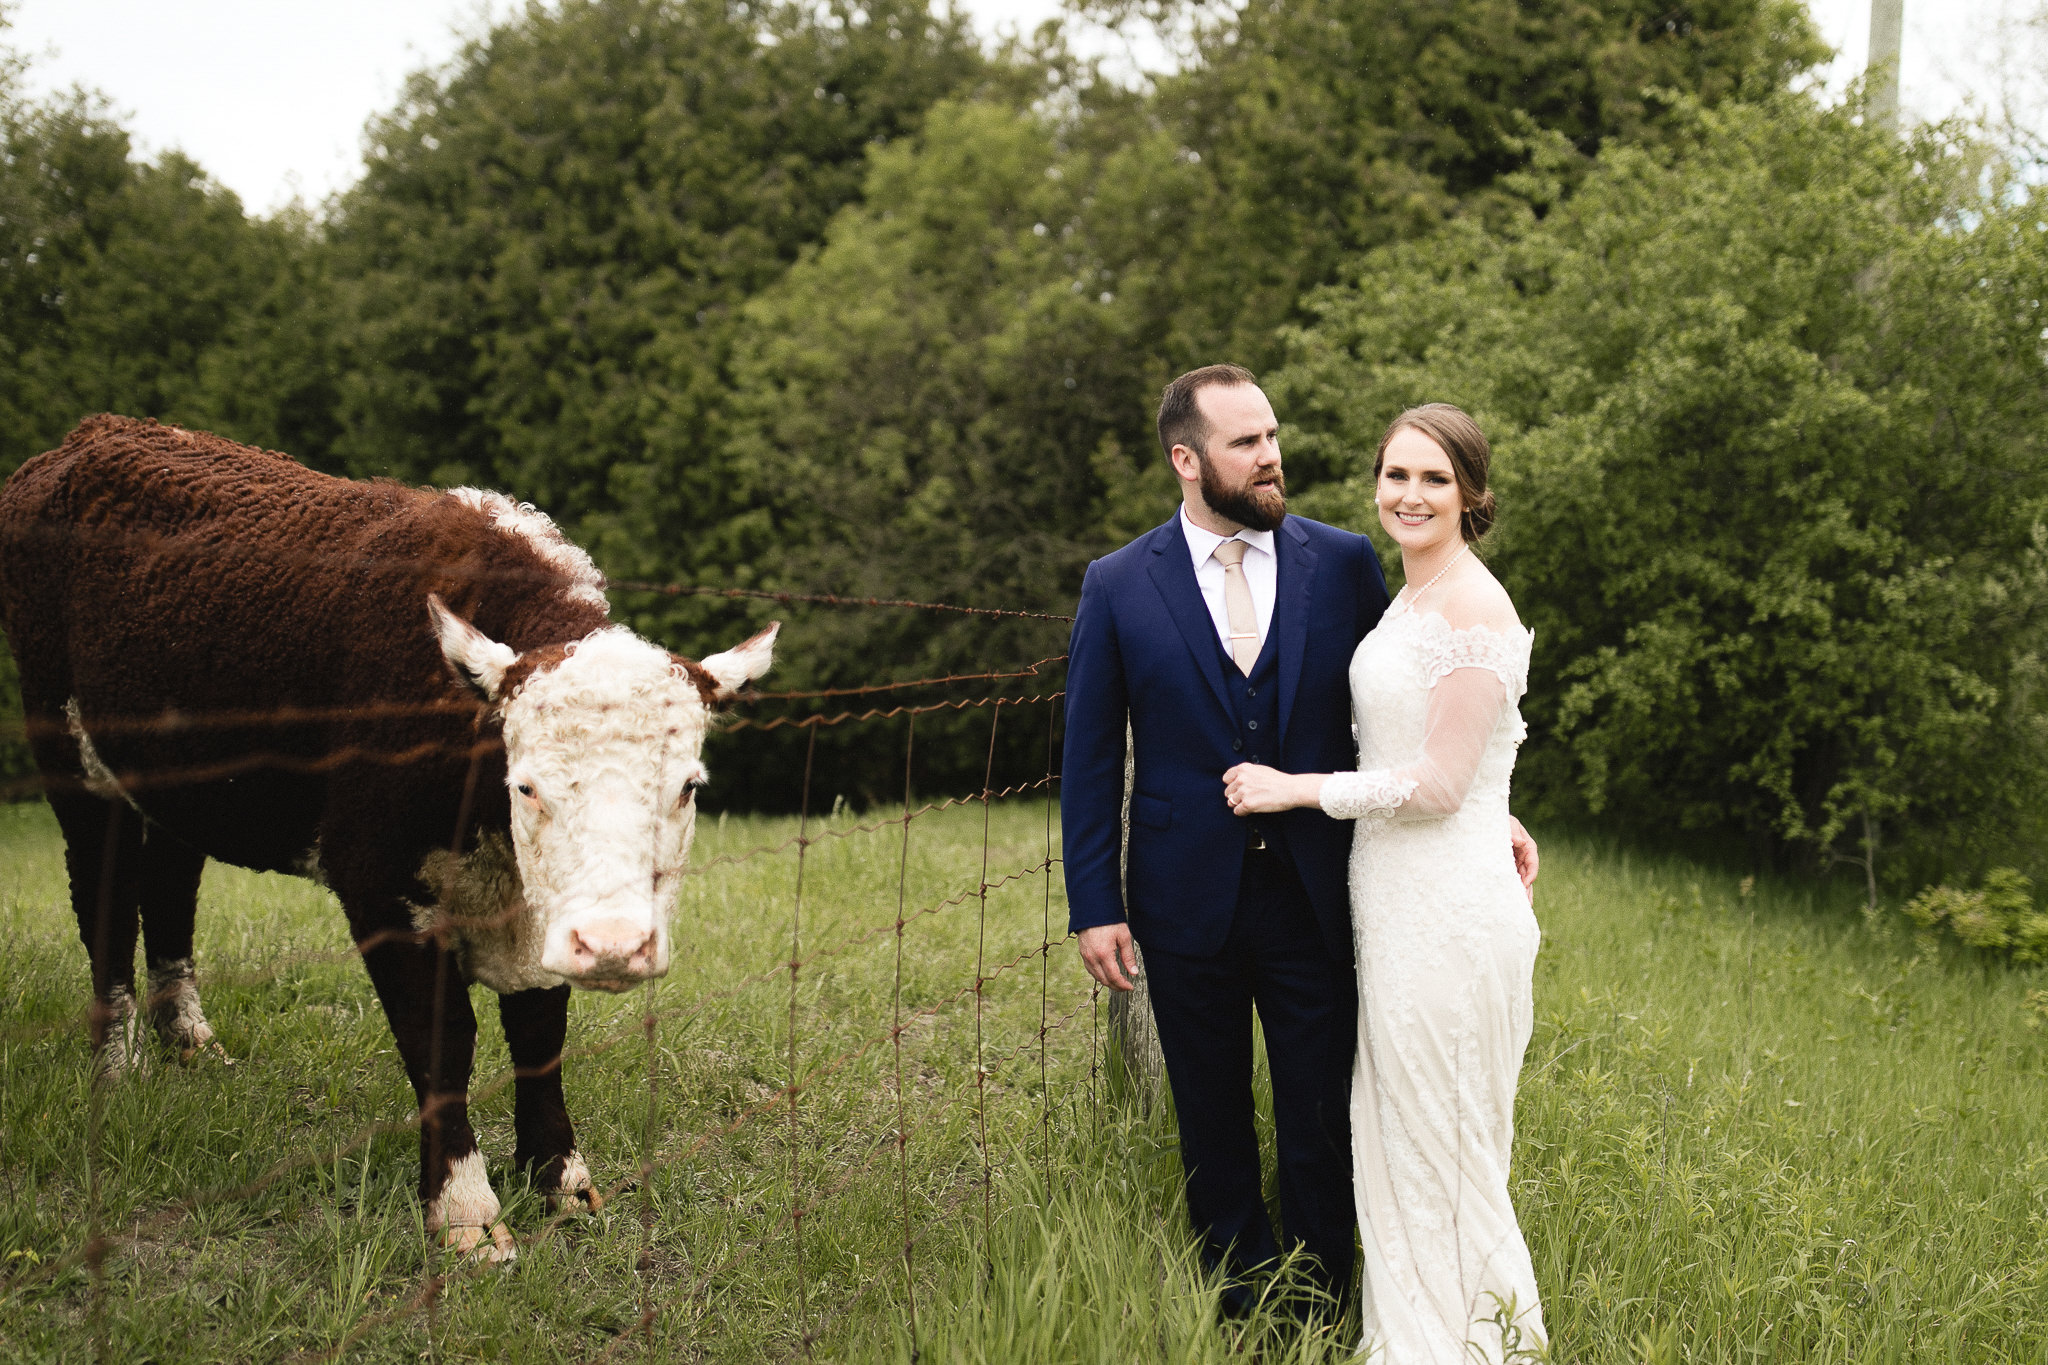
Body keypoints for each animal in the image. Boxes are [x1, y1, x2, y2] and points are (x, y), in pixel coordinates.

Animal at [0, 417, 774, 1260]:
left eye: (688, 785)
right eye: (526, 784)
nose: (612, 945)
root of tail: (92, 435)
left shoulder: (531, 903)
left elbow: (540, 1028)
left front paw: (561, 1180)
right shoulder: (376, 880)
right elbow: (443, 1039)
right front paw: (466, 1211)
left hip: (177, 774)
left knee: (171, 882)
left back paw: (189, 1040)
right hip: (70, 752)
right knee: (104, 903)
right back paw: (117, 1064)